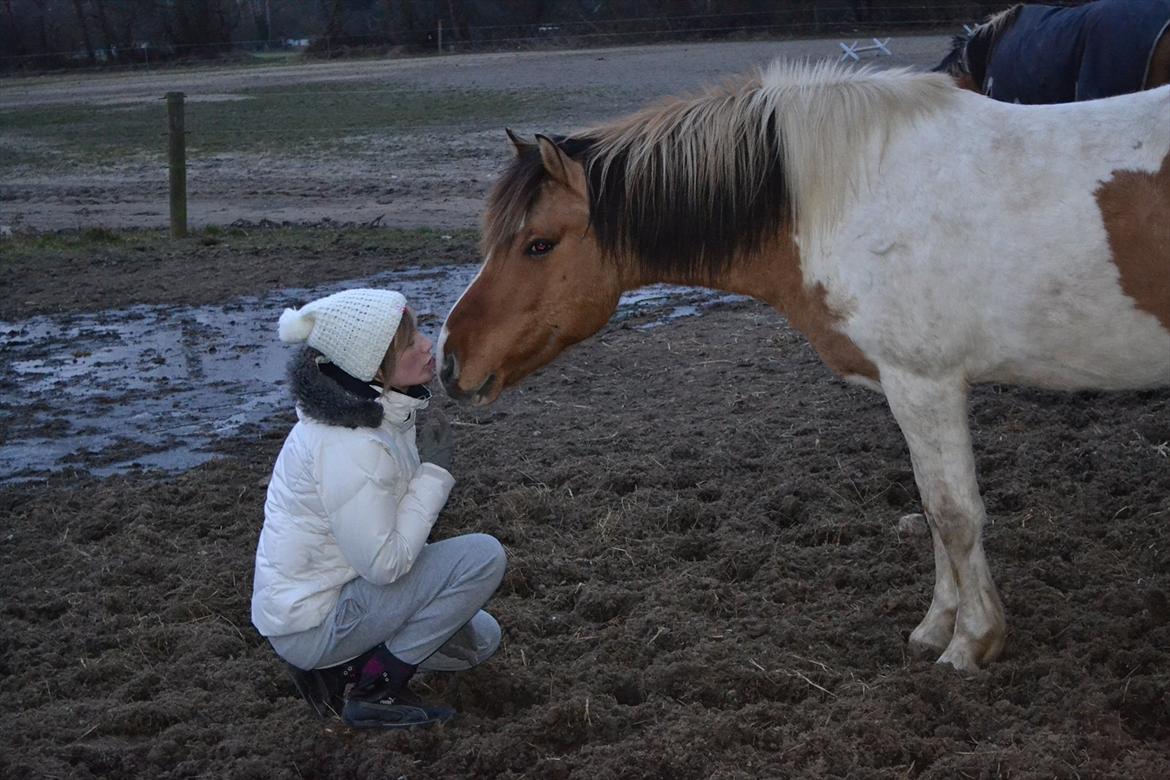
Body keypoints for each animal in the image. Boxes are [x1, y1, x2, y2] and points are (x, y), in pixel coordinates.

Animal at [439, 62, 1170, 673]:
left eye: (538, 245)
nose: (450, 359)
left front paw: (971, 643)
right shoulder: (915, 393)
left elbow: (954, 513)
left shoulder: (924, 384)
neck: (852, 198)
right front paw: (936, 627)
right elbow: (933, 512)